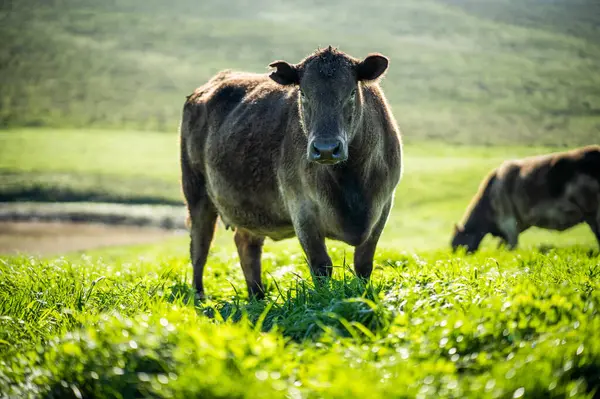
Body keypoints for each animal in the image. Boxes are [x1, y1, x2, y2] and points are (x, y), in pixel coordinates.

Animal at [178, 47, 404, 298]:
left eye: (352, 92)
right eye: (303, 93)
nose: (326, 149)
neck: (350, 182)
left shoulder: (382, 207)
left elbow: (363, 264)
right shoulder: (302, 209)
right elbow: (321, 266)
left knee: (246, 246)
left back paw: (257, 297)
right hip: (196, 193)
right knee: (199, 247)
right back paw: (199, 296)